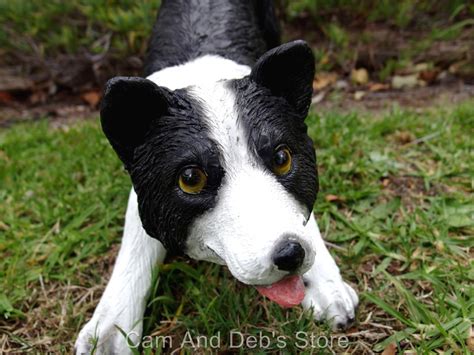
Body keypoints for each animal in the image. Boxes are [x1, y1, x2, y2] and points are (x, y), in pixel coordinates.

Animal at [75, 1, 356, 354]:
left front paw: (326, 285)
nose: (290, 254)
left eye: (282, 159)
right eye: (191, 178)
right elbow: (135, 245)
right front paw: (110, 329)